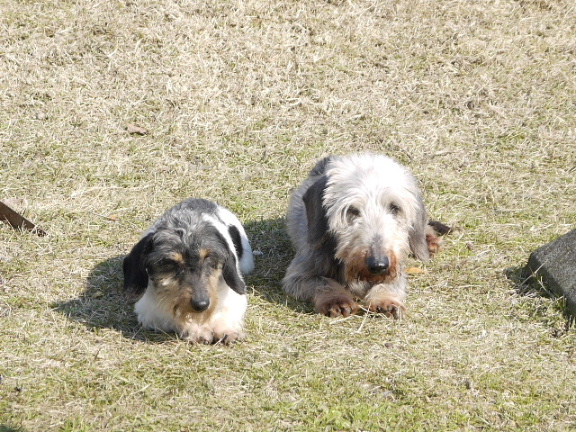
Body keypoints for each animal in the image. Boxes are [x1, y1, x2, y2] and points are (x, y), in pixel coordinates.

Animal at [122, 199, 253, 344]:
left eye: (208, 257)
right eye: (171, 262)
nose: (201, 304)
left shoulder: (234, 297)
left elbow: (225, 312)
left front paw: (226, 329)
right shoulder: (151, 313)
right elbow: (177, 316)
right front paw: (197, 330)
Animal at [282, 154, 440, 318]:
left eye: (395, 207)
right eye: (352, 210)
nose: (378, 264)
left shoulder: (396, 267)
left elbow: (390, 283)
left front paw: (386, 300)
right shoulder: (299, 276)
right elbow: (324, 283)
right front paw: (337, 300)